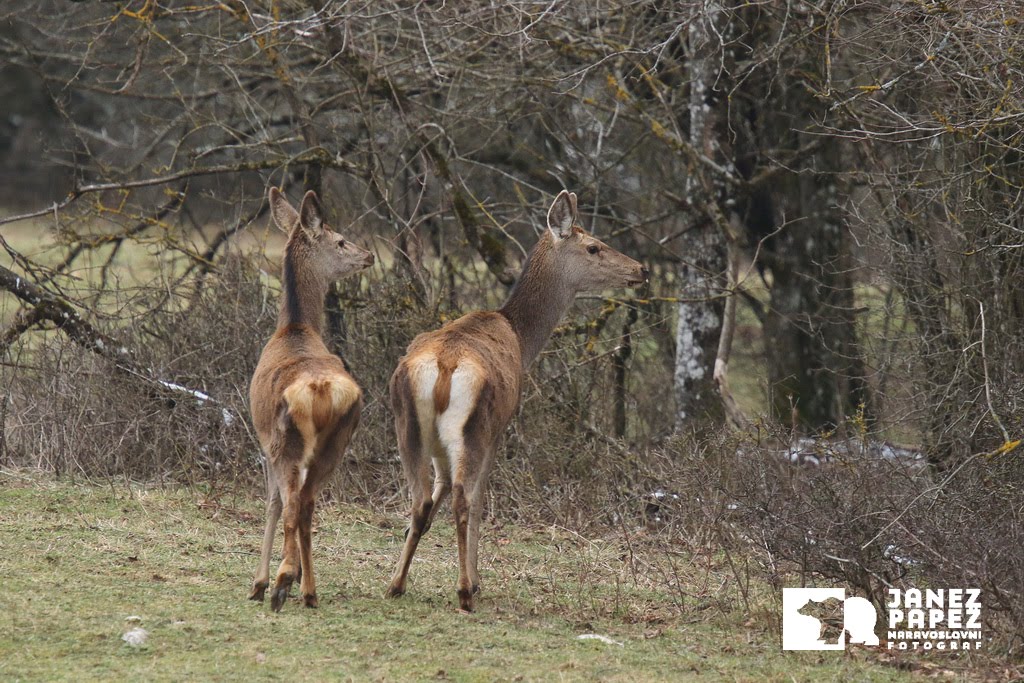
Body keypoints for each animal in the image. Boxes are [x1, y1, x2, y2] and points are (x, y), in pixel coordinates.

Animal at [247, 188, 376, 614]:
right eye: (341, 241)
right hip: (337, 442)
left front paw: (259, 583)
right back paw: (307, 588)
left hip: (285, 440)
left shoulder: (264, 442)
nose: (368, 254)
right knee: (307, 505)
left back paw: (283, 582)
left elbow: (270, 504)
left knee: (291, 506)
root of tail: (319, 389)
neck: (294, 329)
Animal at [385, 189, 647, 610]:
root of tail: (444, 366)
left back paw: (395, 583)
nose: (642, 269)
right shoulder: (501, 427)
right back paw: (464, 591)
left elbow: (434, 500)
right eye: (593, 246)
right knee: (464, 499)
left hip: (406, 425)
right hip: (474, 427)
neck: (522, 338)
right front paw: (476, 581)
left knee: (420, 499)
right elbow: (478, 499)